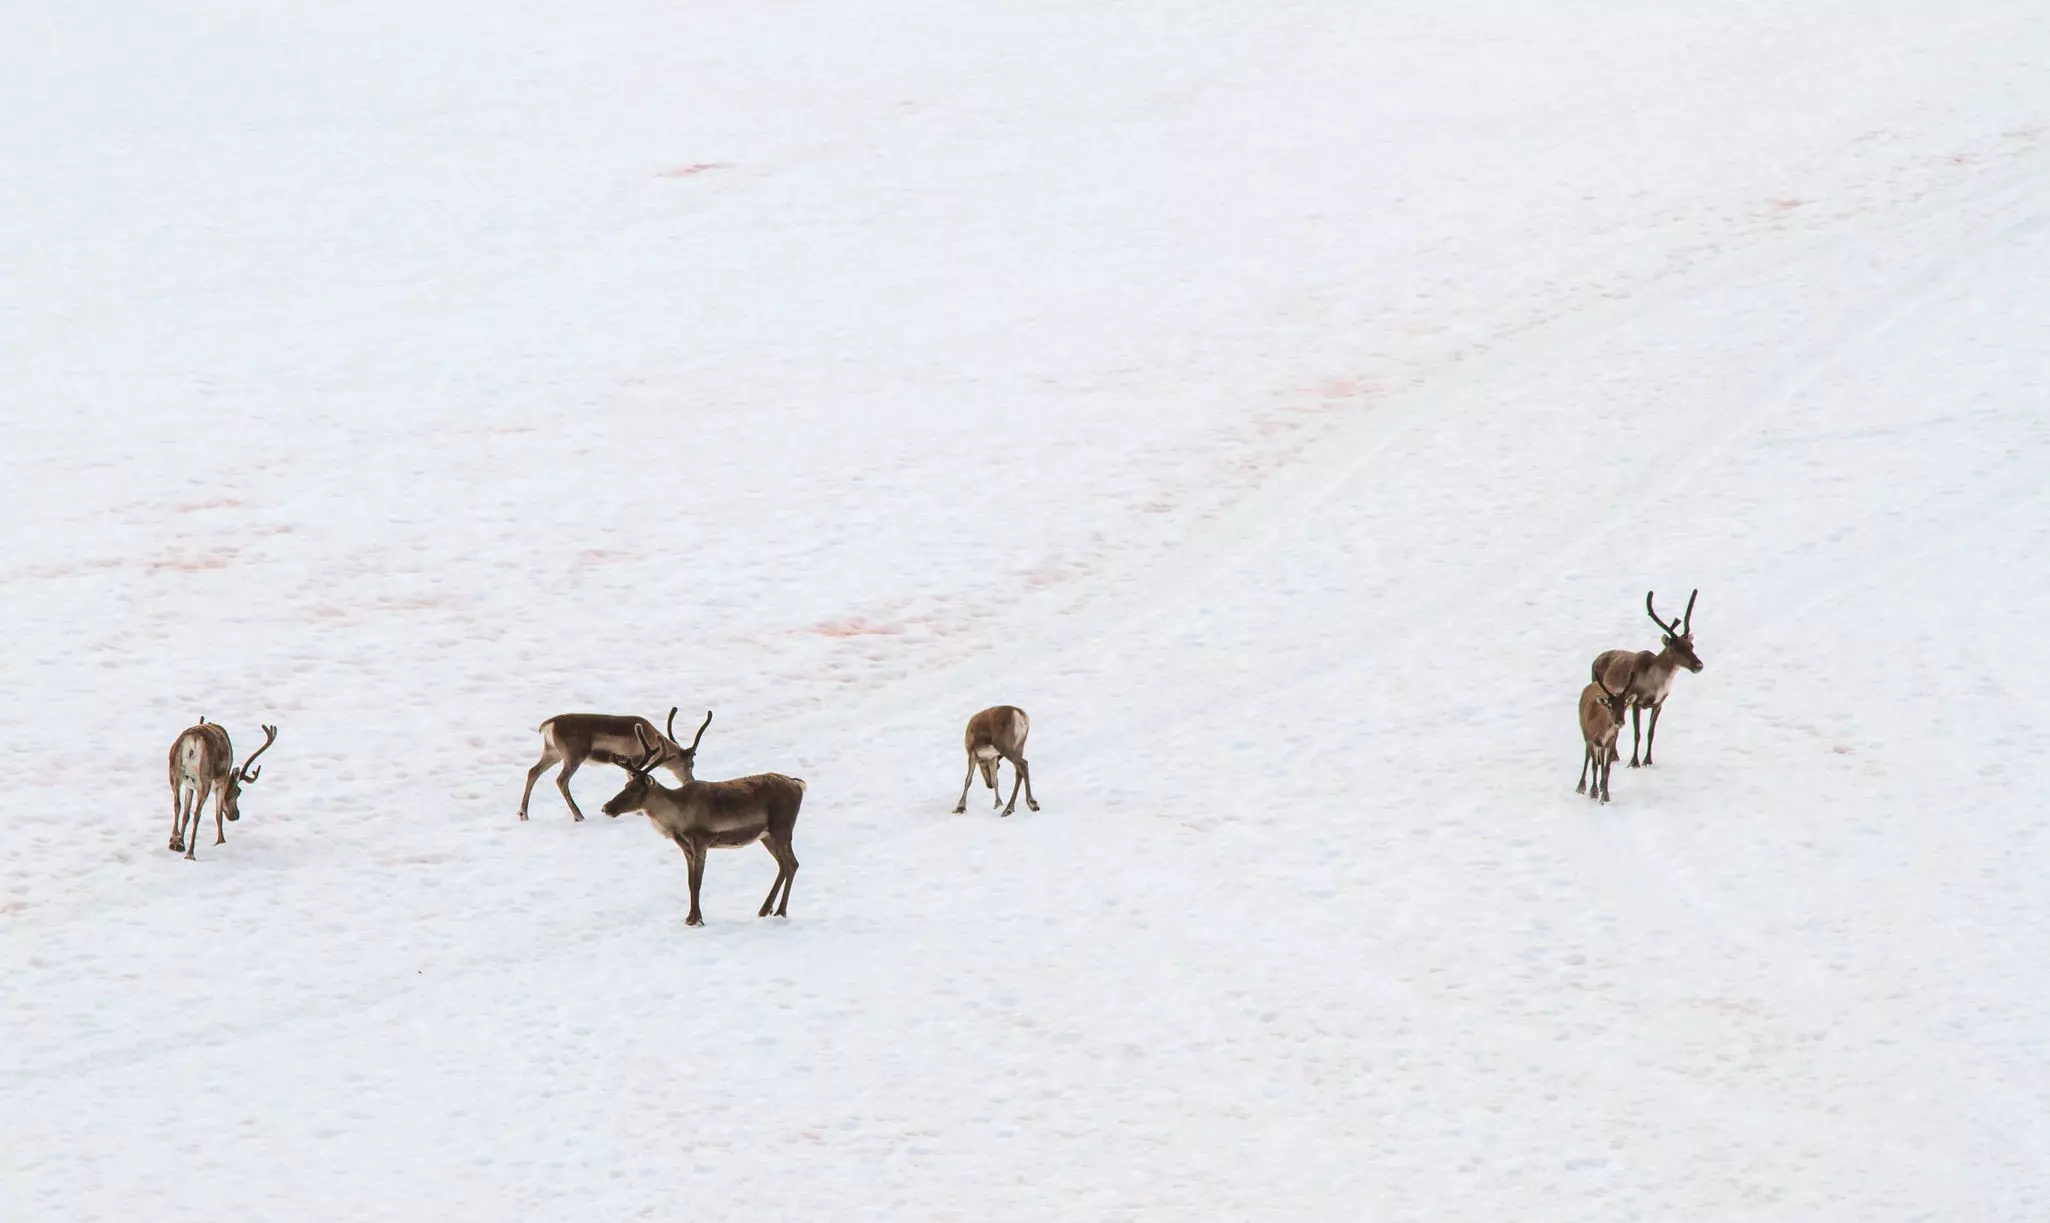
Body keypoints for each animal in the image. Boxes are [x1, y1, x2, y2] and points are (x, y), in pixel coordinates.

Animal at [166, 719, 277, 860]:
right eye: (238, 792)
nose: (236, 815)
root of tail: (193, 743)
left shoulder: (189, 785)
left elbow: (186, 814)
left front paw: (181, 842)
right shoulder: (221, 782)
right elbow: (218, 814)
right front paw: (221, 841)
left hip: (174, 774)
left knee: (177, 805)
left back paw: (175, 842)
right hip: (204, 780)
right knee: (197, 814)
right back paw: (190, 853)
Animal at [518, 706, 706, 822]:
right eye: (691, 763)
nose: (690, 780)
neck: (653, 737)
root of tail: (548, 725)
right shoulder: (636, 759)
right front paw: (639, 811)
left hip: (552, 753)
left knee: (533, 771)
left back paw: (523, 814)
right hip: (573, 756)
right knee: (561, 780)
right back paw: (579, 816)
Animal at [599, 717, 805, 927]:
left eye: (634, 789)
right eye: (625, 784)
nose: (607, 807)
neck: (676, 818)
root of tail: (798, 784)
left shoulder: (701, 841)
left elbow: (697, 882)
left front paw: (696, 919)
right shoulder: (686, 847)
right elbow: (690, 882)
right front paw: (690, 917)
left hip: (782, 827)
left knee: (792, 864)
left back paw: (780, 911)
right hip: (766, 835)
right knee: (782, 865)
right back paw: (765, 910)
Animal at [1577, 675, 1628, 803]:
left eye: (1624, 705)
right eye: (1610, 706)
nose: (1620, 722)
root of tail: (1593, 683)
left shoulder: (1612, 741)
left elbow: (1607, 769)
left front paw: (1605, 794)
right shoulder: (1591, 740)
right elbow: (1594, 765)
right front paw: (1593, 792)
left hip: (1603, 744)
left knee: (1602, 757)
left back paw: (1601, 784)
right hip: (1585, 735)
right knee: (1588, 757)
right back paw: (1581, 786)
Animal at [1591, 589, 1703, 769]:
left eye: (1691, 646)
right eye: (1675, 648)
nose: (1699, 665)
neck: (1656, 683)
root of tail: (1595, 660)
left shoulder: (1658, 704)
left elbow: (1651, 733)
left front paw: (1648, 761)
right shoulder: (1636, 702)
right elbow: (1637, 733)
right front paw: (1634, 762)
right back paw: (1613, 756)